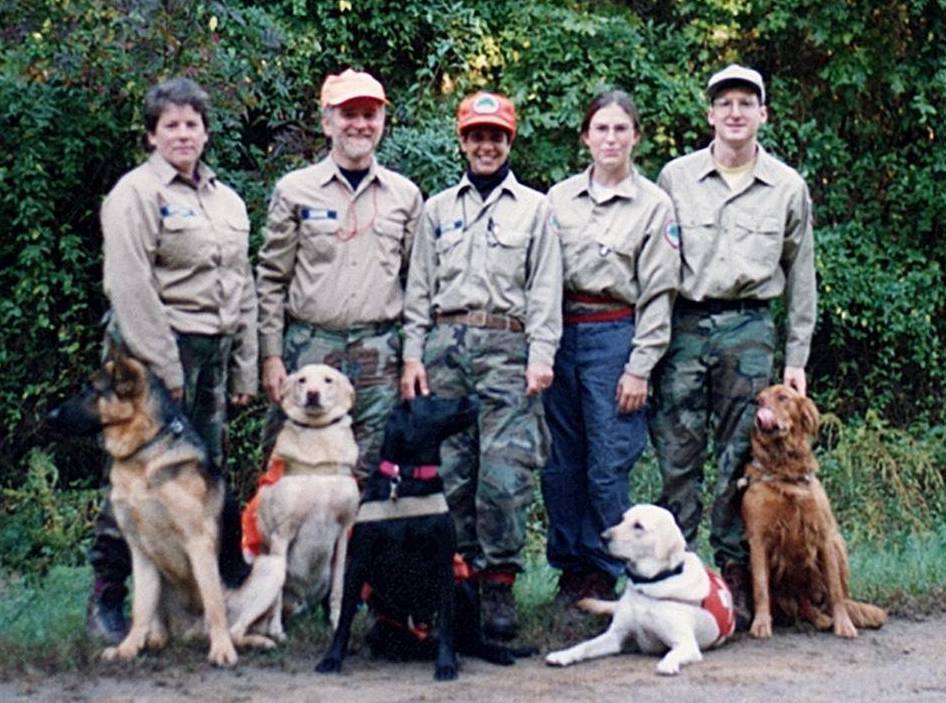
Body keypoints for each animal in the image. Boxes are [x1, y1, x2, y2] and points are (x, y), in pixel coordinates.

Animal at [48, 344, 285, 666]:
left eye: (91, 390)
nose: (50, 416)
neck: (144, 452)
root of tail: (192, 633)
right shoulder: (139, 550)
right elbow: (140, 608)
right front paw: (128, 649)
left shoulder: (199, 543)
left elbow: (213, 603)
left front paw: (222, 650)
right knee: (157, 619)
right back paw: (153, 639)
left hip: (272, 567)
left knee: (234, 627)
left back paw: (248, 641)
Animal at [240, 363, 360, 638]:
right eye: (302, 380)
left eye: (328, 380)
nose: (313, 394)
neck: (318, 437)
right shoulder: (281, 534)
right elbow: (276, 592)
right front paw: (276, 631)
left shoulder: (343, 533)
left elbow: (339, 587)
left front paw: (337, 622)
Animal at [316, 394, 519, 681]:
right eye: (434, 400)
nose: (474, 397)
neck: (407, 477)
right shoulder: (357, 563)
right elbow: (344, 617)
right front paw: (332, 659)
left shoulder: (444, 562)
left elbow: (445, 621)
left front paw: (446, 664)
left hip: (466, 585)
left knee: (471, 641)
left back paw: (493, 653)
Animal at [546, 504, 734, 675]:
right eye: (622, 519)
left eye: (638, 526)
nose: (603, 536)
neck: (647, 584)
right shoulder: (615, 636)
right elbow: (585, 645)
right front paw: (563, 655)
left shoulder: (686, 644)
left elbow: (673, 653)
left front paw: (667, 664)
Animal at [740, 384, 887, 639]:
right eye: (759, 401)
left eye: (783, 397)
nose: (760, 416)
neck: (784, 469)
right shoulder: (757, 539)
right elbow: (760, 587)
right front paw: (761, 623)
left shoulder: (824, 535)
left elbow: (836, 590)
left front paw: (844, 624)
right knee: (802, 605)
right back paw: (818, 618)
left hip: (838, 546)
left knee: (830, 598)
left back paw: (826, 618)